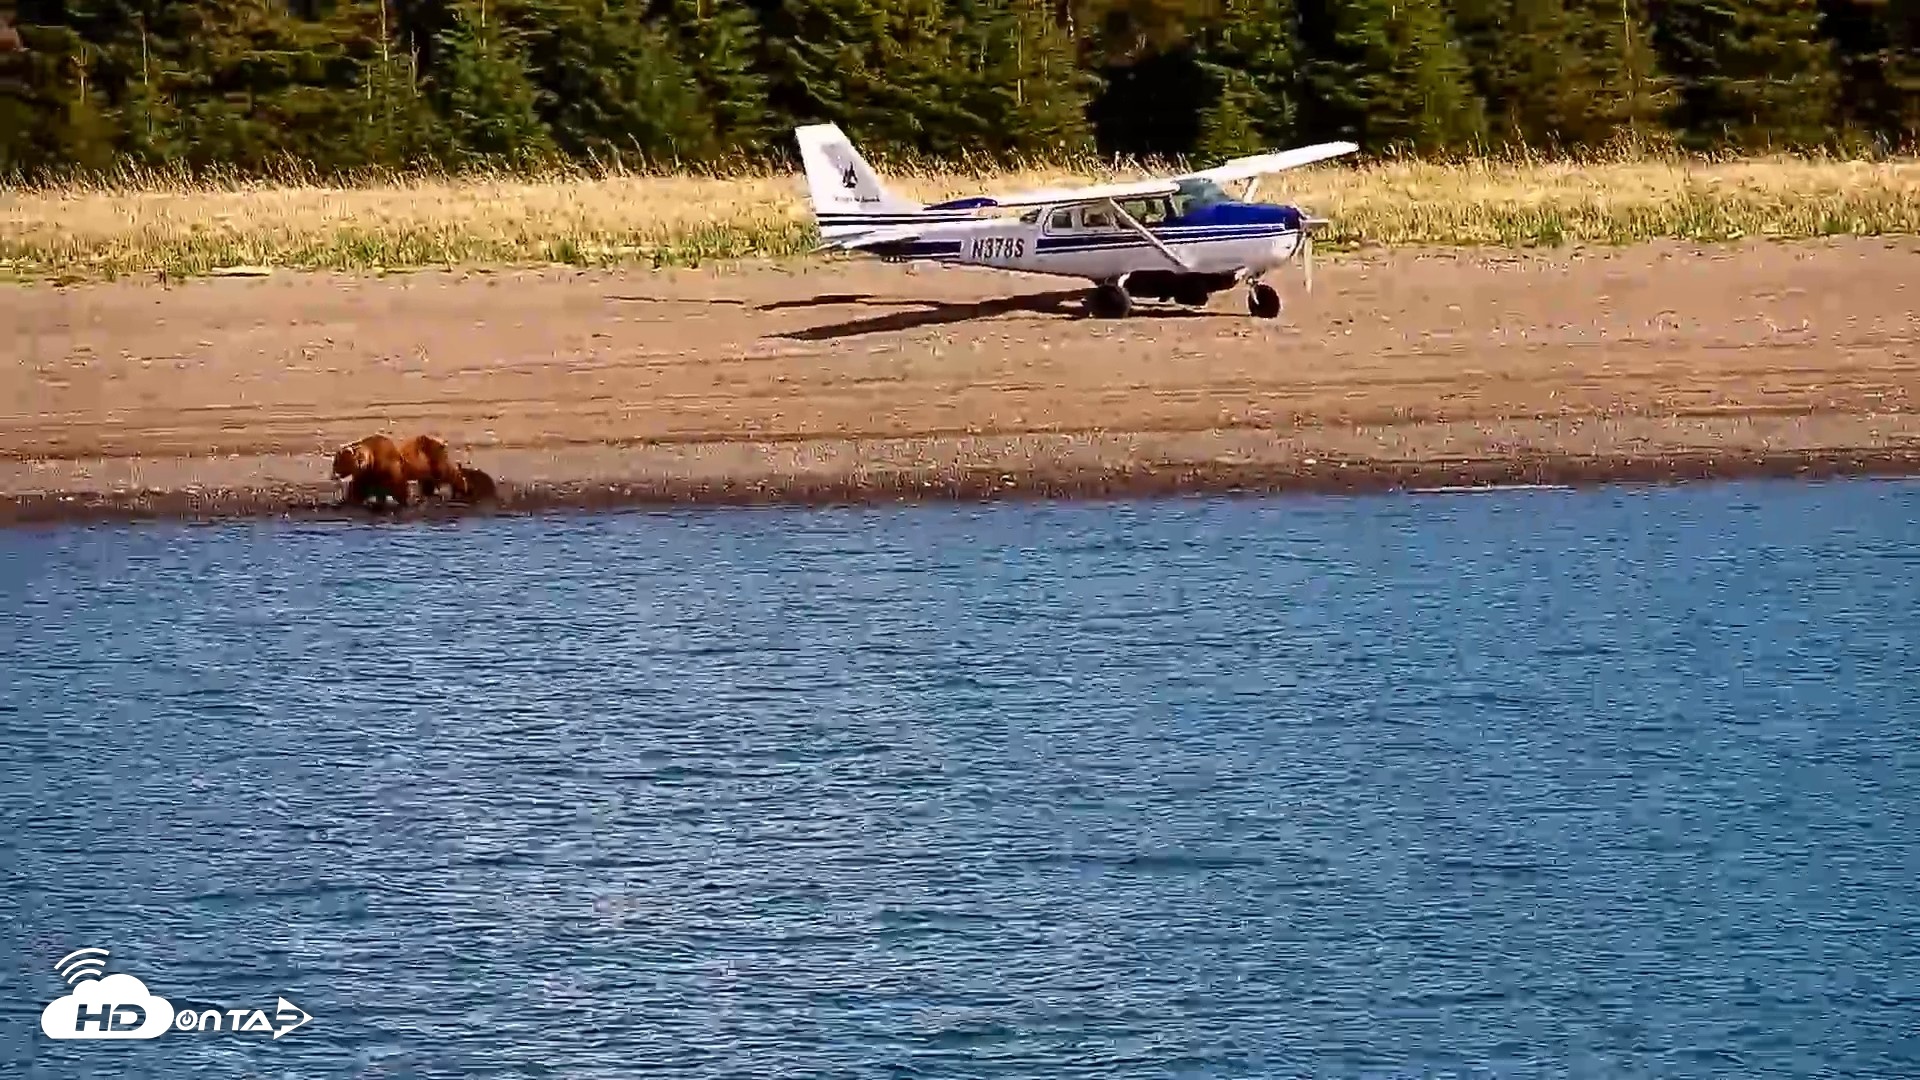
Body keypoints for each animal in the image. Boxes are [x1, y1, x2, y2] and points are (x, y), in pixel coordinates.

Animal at [330, 433, 468, 509]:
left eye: (336, 462)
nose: (334, 474)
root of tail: (441, 441)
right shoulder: (366, 475)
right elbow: (358, 490)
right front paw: (348, 501)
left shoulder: (388, 469)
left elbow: (399, 488)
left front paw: (406, 502)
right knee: (429, 482)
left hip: (434, 459)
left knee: (448, 473)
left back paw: (462, 488)